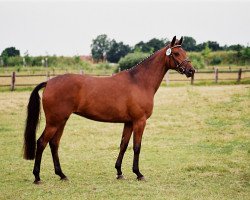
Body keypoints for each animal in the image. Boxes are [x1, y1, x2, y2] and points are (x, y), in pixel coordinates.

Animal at [23, 35, 195, 183]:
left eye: (185, 52)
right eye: (176, 53)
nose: (191, 71)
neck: (139, 82)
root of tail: (49, 82)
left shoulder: (129, 122)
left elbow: (123, 145)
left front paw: (119, 172)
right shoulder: (139, 121)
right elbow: (137, 147)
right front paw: (138, 173)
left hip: (62, 121)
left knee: (54, 144)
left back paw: (62, 174)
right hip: (54, 122)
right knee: (42, 142)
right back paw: (37, 177)